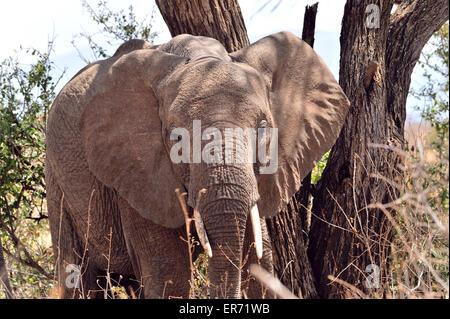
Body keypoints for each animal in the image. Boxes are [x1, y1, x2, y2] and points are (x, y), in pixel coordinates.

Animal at [44, 31, 348, 298]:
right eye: (177, 139)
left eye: (263, 130)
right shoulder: (135, 174)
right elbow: (170, 276)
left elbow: (260, 257)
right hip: (57, 181)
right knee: (77, 275)